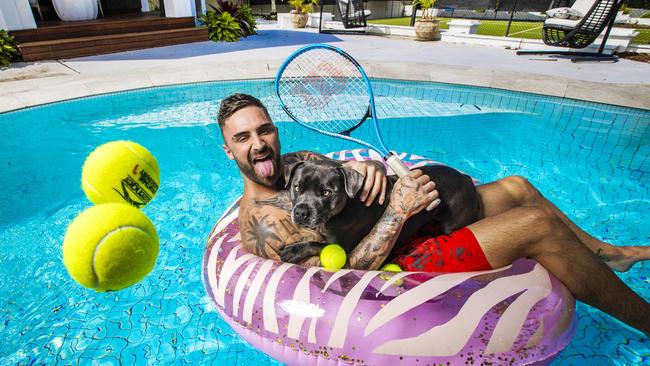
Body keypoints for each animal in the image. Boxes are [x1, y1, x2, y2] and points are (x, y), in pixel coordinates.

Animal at [274, 159, 480, 264]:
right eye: (297, 187)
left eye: (326, 192)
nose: (300, 212)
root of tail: (465, 178)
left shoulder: (345, 250)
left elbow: (316, 244)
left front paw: (294, 251)